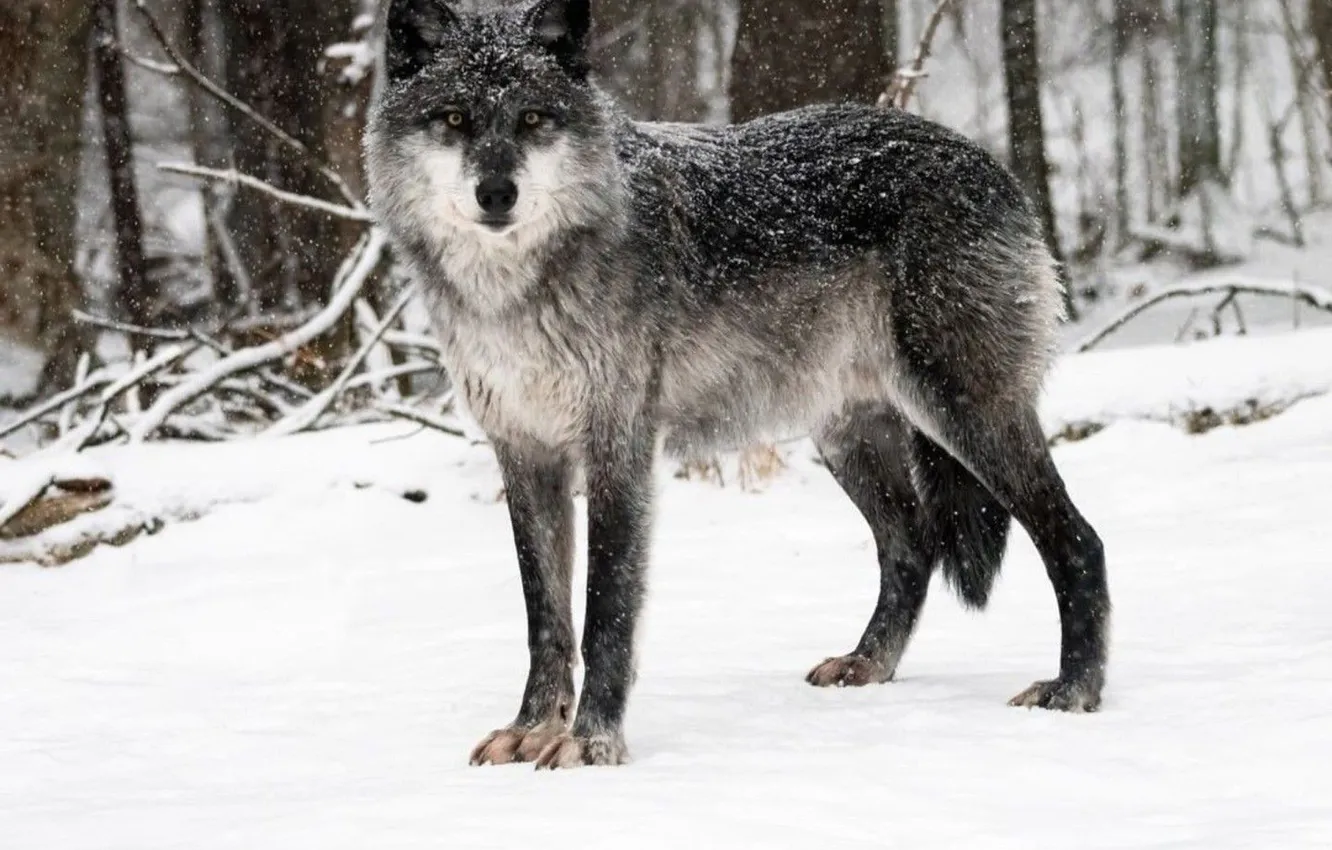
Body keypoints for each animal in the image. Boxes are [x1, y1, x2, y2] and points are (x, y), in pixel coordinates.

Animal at [366, 0, 1111, 769]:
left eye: (534, 118)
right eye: (454, 118)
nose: (496, 193)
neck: (518, 291)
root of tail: (992, 163)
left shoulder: (619, 451)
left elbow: (606, 610)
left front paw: (593, 741)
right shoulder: (524, 453)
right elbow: (546, 617)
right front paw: (534, 726)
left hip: (964, 414)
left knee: (1078, 541)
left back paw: (1072, 691)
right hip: (849, 438)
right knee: (912, 546)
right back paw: (869, 663)